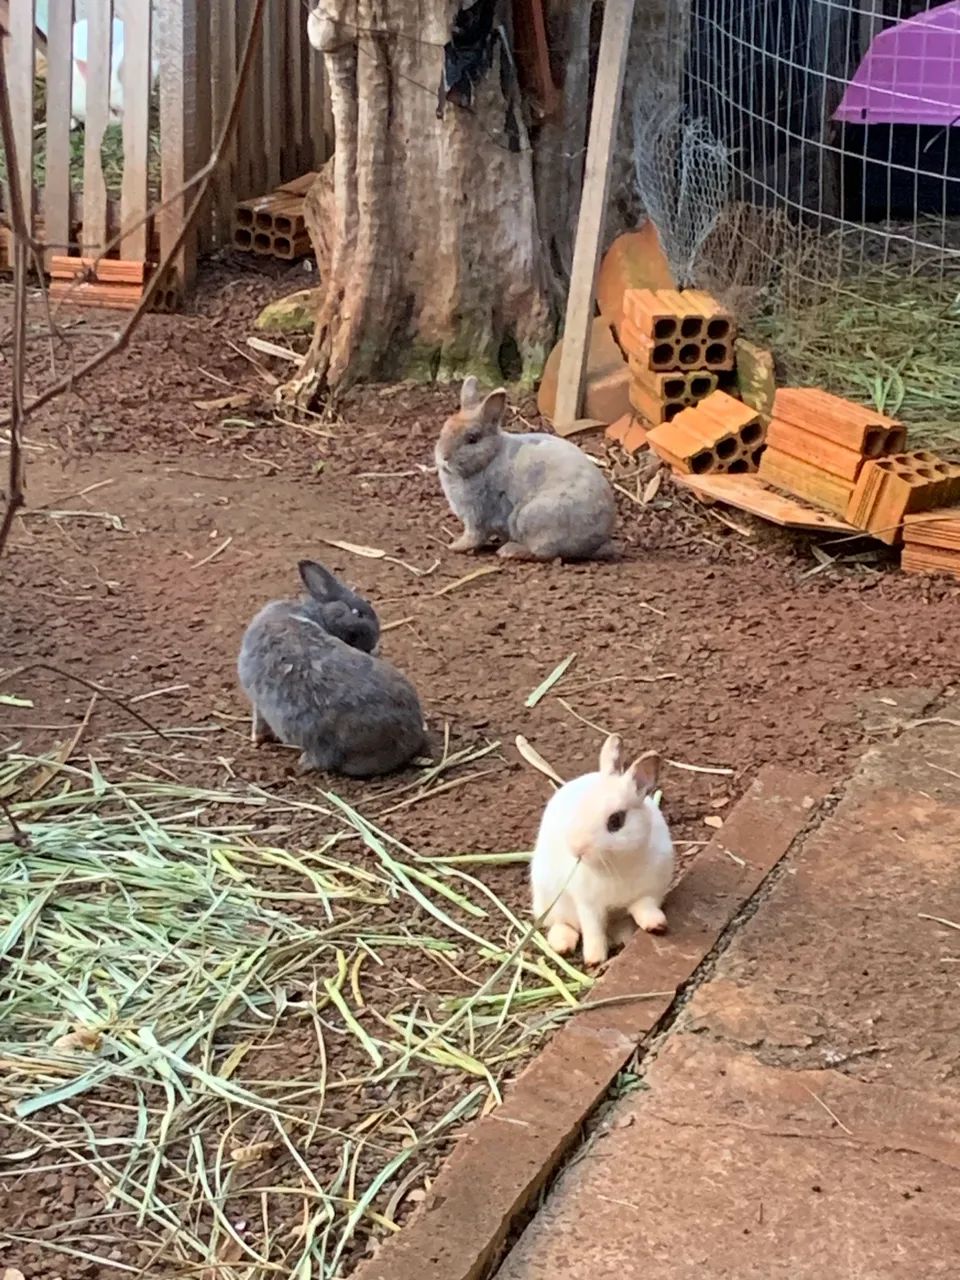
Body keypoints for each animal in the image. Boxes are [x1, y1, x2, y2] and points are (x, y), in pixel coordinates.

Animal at [435, 377, 617, 562]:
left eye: (472, 439)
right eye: (444, 429)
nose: (444, 457)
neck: (490, 458)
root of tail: (598, 540)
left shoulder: (476, 516)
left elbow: (473, 536)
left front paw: (455, 546)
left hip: (532, 518)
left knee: (542, 552)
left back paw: (509, 550)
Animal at [530, 735, 674, 967]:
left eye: (616, 821)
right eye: (579, 809)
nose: (577, 848)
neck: (619, 864)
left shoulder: (650, 892)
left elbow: (644, 907)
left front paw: (656, 925)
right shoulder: (588, 904)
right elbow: (593, 930)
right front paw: (594, 959)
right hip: (549, 898)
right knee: (560, 923)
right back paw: (563, 945)